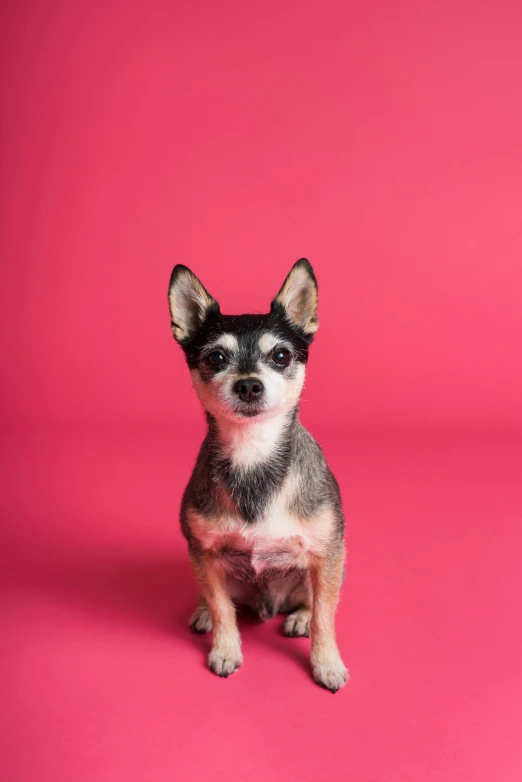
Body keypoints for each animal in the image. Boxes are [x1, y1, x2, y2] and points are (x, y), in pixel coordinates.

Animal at [167, 258, 346, 692]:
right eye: (216, 358)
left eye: (281, 355)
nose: (248, 384)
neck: (254, 454)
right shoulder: (204, 553)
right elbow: (222, 609)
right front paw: (225, 649)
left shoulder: (328, 553)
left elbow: (325, 615)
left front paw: (326, 662)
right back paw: (202, 613)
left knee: (312, 600)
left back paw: (298, 617)